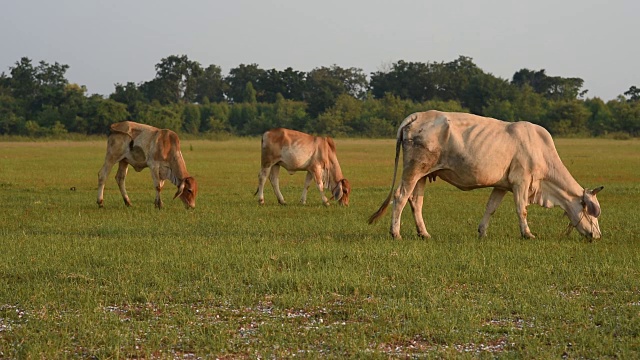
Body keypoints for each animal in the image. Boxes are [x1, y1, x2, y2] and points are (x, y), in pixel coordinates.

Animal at [368, 109, 604, 239]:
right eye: (592, 213)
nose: (597, 235)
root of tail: (416, 116)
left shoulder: (502, 185)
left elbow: (491, 208)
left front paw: (482, 232)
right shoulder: (521, 182)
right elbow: (522, 209)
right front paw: (527, 234)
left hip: (423, 175)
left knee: (415, 202)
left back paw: (424, 233)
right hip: (414, 169)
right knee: (400, 197)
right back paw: (396, 233)